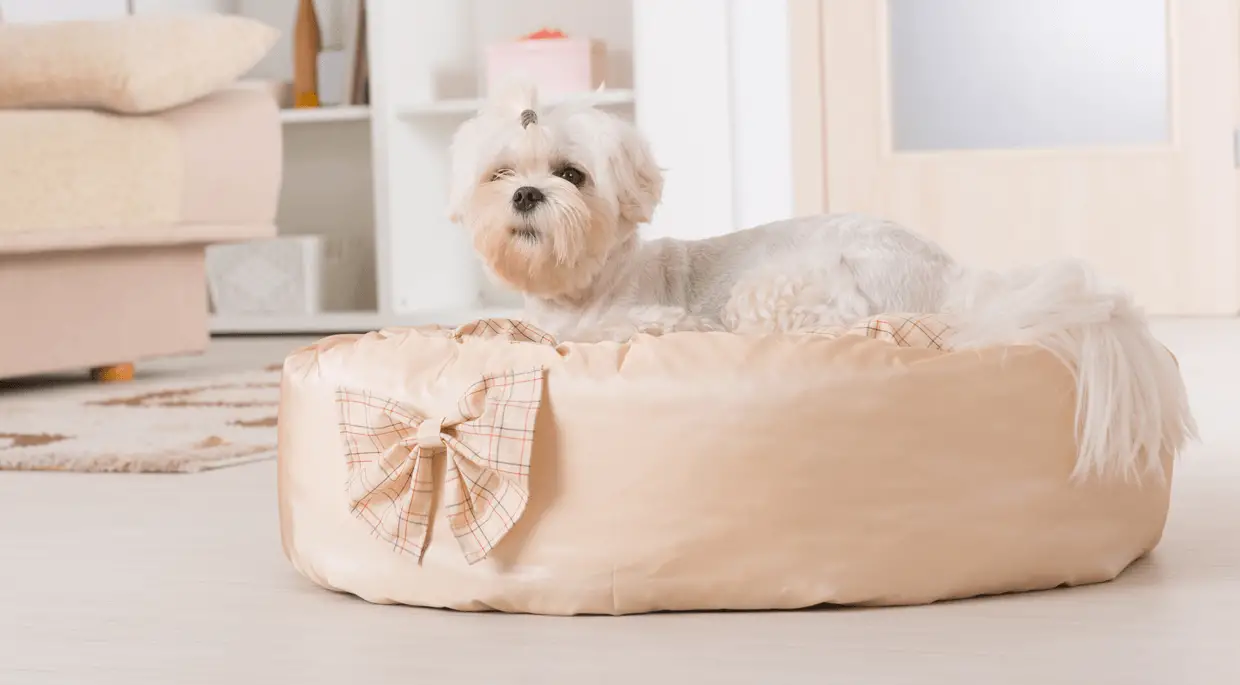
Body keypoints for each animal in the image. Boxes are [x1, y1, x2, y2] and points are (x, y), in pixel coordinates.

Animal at [448, 86, 957, 340]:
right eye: (501, 174)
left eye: (572, 175)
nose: (525, 194)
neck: (586, 290)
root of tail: (952, 274)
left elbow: (624, 326)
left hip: (781, 291)